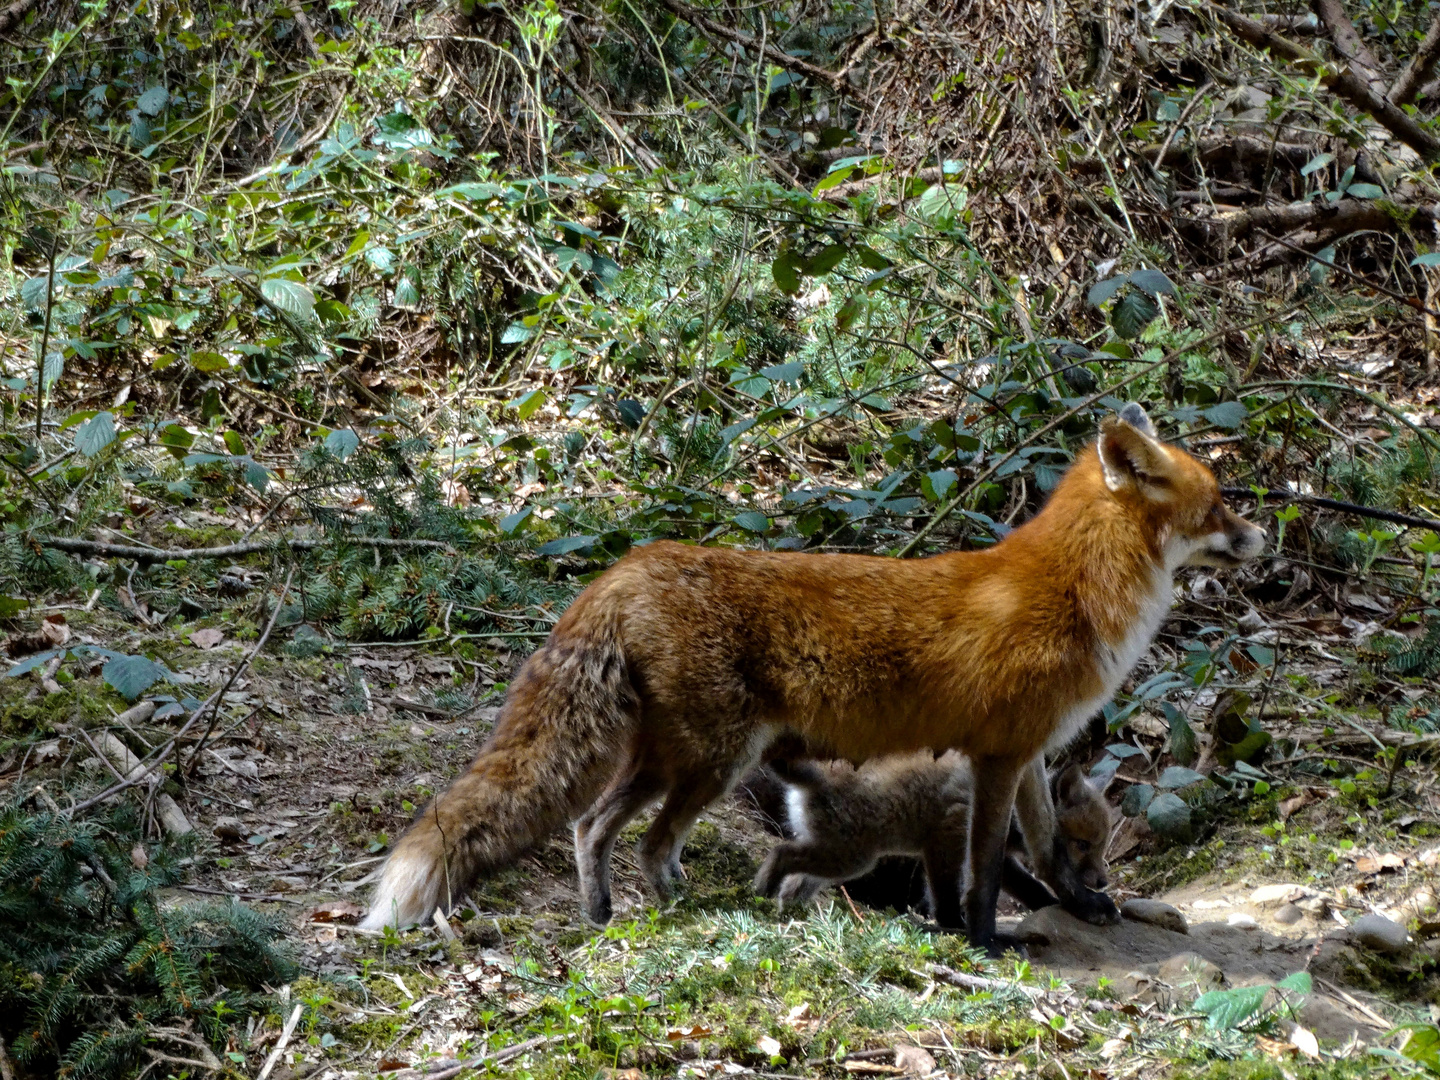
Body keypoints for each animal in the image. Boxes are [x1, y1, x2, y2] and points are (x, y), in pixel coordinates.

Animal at [365, 408, 1267, 956]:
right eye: (1222, 504)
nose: (1265, 537)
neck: (1076, 593)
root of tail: (630, 565)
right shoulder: (998, 756)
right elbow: (983, 870)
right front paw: (986, 941)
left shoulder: (1034, 752)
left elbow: (1042, 850)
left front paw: (1080, 905)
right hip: (711, 759)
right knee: (638, 838)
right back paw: (693, 911)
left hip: (670, 760)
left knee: (594, 829)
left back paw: (610, 916)